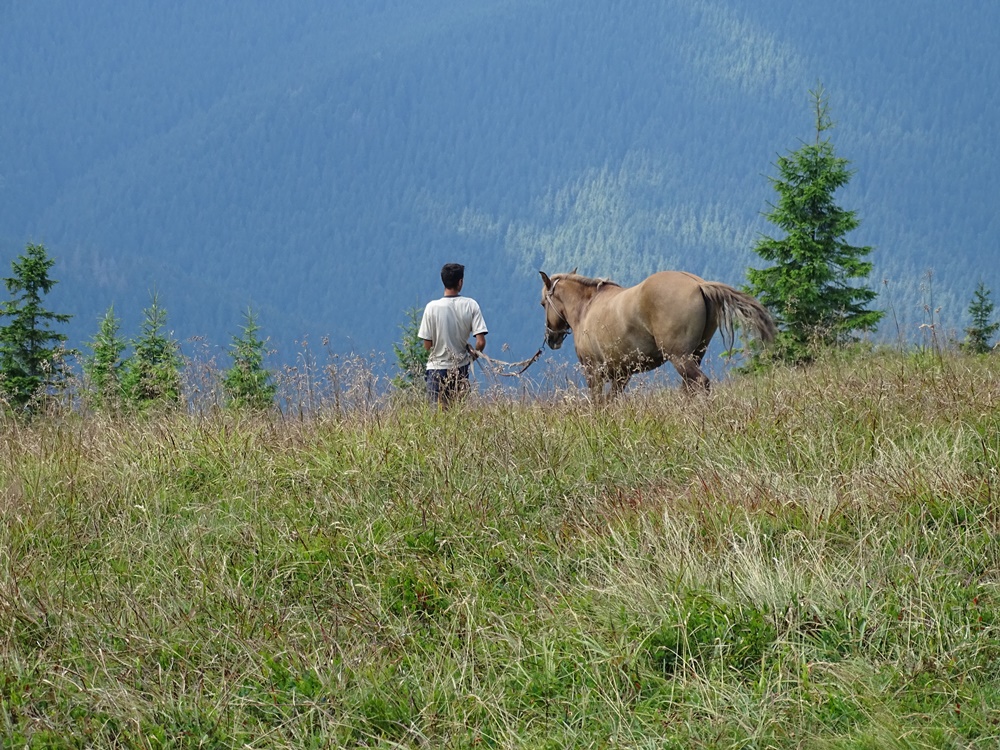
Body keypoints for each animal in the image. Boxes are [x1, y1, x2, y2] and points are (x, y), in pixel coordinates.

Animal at [544, 270, 776, 400]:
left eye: (543, 303)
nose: (551, 338)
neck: (588, 307)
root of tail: (698, 285)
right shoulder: (622, 374)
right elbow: (611, 401)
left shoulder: (593, 371)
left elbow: (598, 401)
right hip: (695, 355)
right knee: (689, 387)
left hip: (679, 357)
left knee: (701, 383)